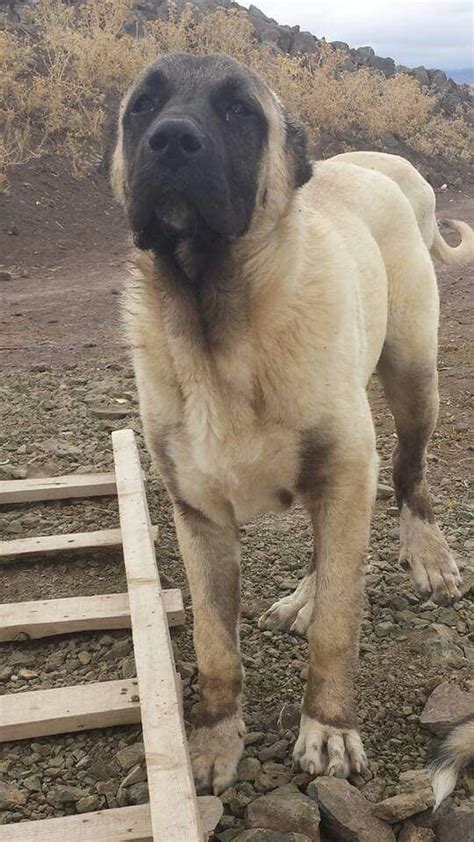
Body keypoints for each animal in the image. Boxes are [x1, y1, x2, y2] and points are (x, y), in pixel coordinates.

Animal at [112, 54, 474, 796]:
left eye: (240, 111)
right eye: (143, 106)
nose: (171, 141)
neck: (221, 331)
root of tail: (387, 164)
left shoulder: (345, 470)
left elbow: (338, 627)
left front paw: (328, 728)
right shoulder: (199, 516)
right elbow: (216, 646)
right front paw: (214, 740)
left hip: (411, 378)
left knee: (409, 475)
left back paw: (426, 553)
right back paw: (305, 595)